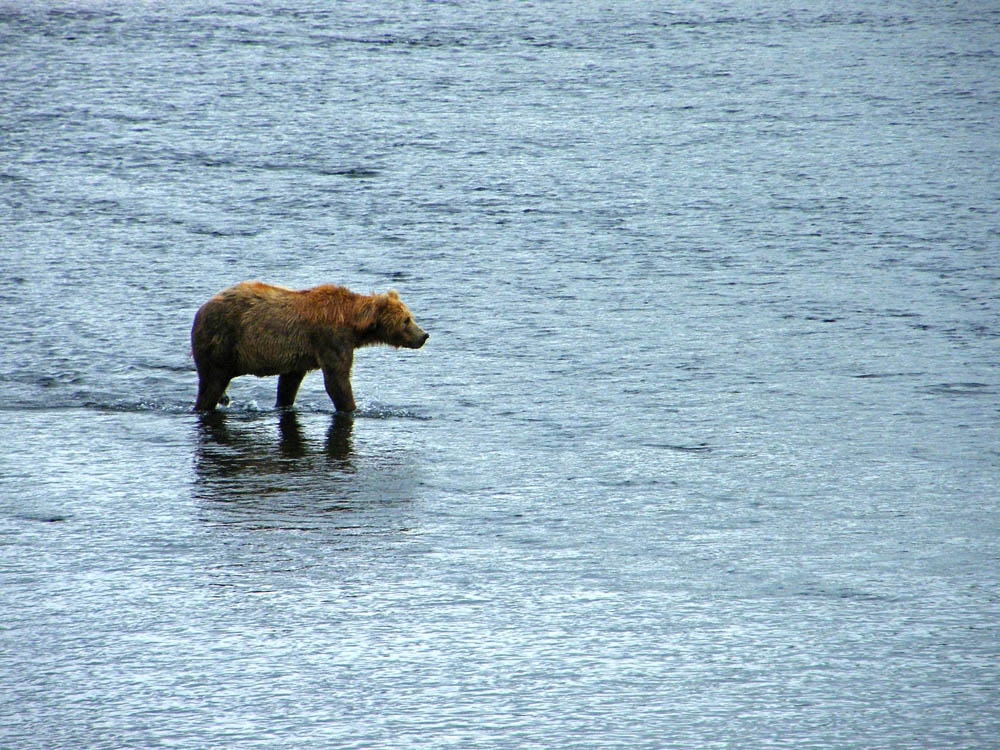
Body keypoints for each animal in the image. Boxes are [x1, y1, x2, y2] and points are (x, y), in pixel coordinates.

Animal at [190, 280, 426, 414]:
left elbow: (289, 382)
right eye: (406, 320)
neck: (353, 324)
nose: (424, 335)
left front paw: (284, 403)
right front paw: (351, 407)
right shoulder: (330, 339)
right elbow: (337, 380)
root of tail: (201, 309)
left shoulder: (298, 356)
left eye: (410, 316)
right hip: (221, 342)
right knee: (212, 383)